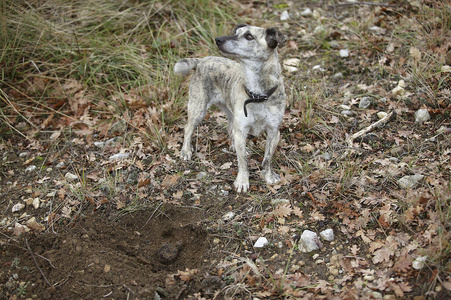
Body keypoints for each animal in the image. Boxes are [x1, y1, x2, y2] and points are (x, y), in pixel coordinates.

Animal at [175, 24, 288, 192]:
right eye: (236, 33)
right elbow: (243, 162)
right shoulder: (242, 129)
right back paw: (185, 151)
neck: (257, 94)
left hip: (230, 113)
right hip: (198, 109)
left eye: (249, 36)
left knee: (230, 128)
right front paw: (242, 181)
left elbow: (267, 158)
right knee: (188, 128)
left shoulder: (274, 132)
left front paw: (268, 176)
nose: (218, 40)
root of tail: (201, 60)